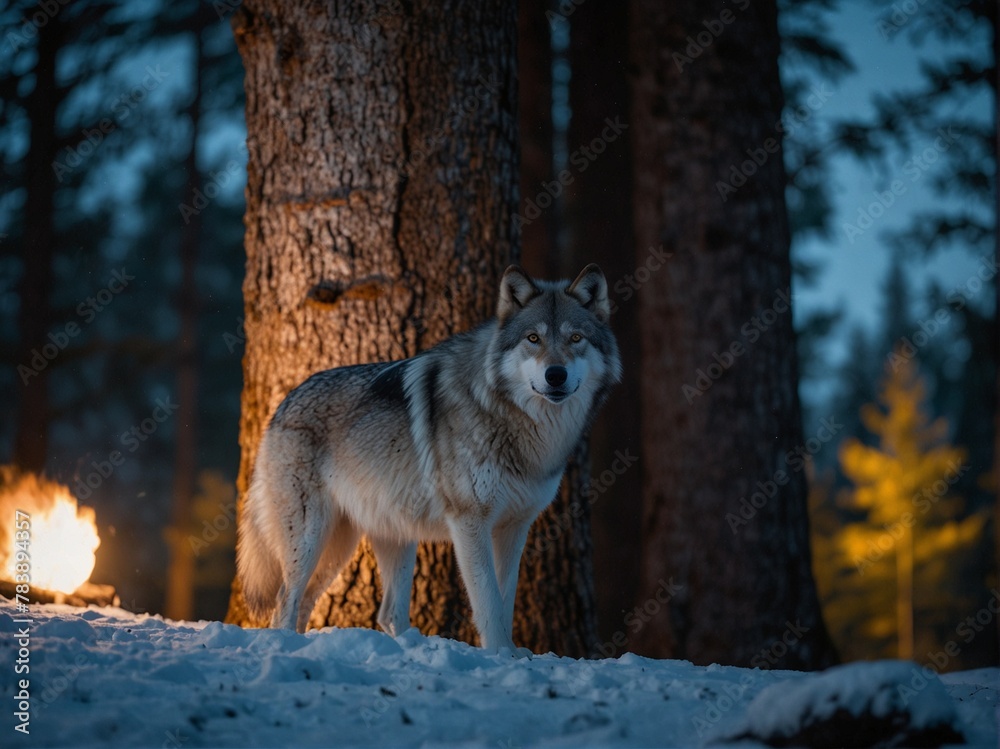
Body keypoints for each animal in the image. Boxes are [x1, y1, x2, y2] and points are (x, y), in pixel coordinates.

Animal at [236, 264, 621, 654]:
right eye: (533, 338)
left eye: (576, 338)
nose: (555, 375)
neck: (519, 425)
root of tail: (283, 403)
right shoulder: (470, 522)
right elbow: (488, 602)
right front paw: (502, 654)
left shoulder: (515, 527)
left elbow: (506, 599)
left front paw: (510, 652)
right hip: (311, 539)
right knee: (285, 601)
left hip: (366, 543)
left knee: (379, 611)